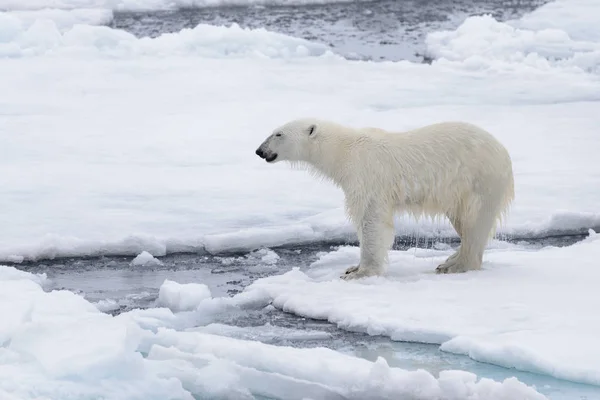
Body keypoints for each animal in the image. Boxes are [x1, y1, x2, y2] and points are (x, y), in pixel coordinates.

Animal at [255, 117, 512, 280]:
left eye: (278, 134)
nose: (259, 151)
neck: (344, 151)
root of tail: (504, 154)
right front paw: (352, 268)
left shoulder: (368, 177)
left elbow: (371, 221)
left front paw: (361, 273)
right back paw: (449, 259)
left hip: (477, 181)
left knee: (474, 221)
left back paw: (456, 265)